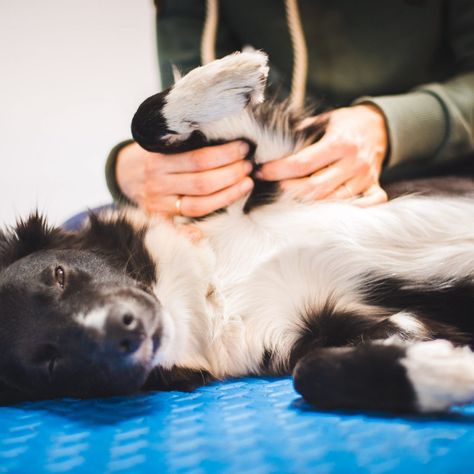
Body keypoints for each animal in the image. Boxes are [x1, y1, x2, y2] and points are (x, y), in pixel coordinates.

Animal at [0, 51, 474, 412]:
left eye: (59, 275)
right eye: (51, 362)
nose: (124, 329)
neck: (215, 283)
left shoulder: (274, 158)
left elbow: (144, 122)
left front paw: (230, 76)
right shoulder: (353, 329)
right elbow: (311, 373)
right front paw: (447, 371)